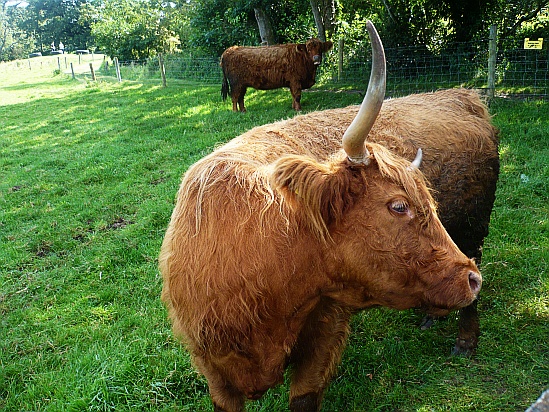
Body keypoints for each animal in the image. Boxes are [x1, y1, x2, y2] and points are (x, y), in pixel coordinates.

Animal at [159, 23, 496, 412]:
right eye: (399, 206)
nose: (471, 280)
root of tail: (460, 95)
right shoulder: (211, 368)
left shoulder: (324, 333)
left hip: (474, 229)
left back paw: (466, 340)